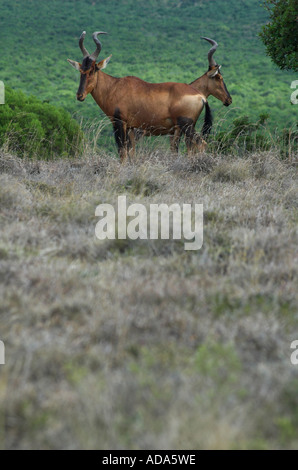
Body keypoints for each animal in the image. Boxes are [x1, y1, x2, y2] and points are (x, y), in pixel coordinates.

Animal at [67, 30, 207, 162]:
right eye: (81, 70)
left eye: (92, 70)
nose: (80, 95)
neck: (114, 87)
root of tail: (201, 96)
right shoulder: (131, 127)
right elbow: (131, 152)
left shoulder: (119, 123)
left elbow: (122, 150)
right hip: (187, 126)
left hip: (186, 125)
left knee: (200, 143)